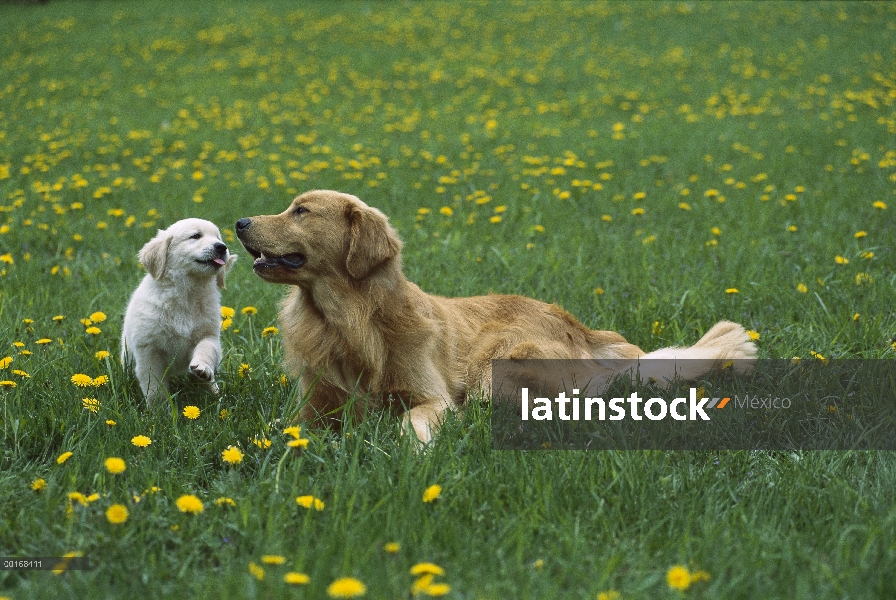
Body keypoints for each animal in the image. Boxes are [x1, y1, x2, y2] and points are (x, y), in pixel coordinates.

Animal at [124, 217, 242, 404]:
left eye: (218, 237)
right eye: (195, 236)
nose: (222, 247)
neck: (188, 292)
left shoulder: (209, 334)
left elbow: (206, 348)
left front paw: (203, 368)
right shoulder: (148, 348)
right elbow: (153, 384)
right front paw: (159, 408)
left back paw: (213, 391)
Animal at [234, 190, 752, 442]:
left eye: (300, 211)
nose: (238, 222)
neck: (347, 321)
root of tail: (582, 329)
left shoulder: (433, 396)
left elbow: (412, 422)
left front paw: (410, 449)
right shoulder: (315, 406)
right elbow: (286, 430)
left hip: (495, 359)